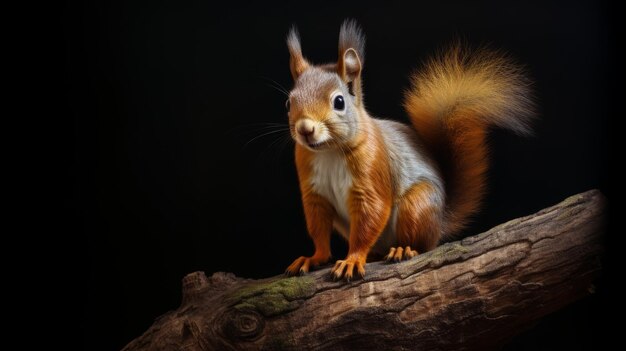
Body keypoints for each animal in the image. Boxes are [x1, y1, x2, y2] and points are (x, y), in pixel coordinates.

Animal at [282, 20, 532, 282]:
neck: (329, 151)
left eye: (339, 102)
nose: (305, 129)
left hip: (416, 207)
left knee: (422, 245)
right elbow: (318, 229)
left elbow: (370, 216)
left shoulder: (372, 172)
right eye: (289, 103)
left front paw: (352, 259)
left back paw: (404, 249)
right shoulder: (314, 193)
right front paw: (314, 258)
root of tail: (440, 223)